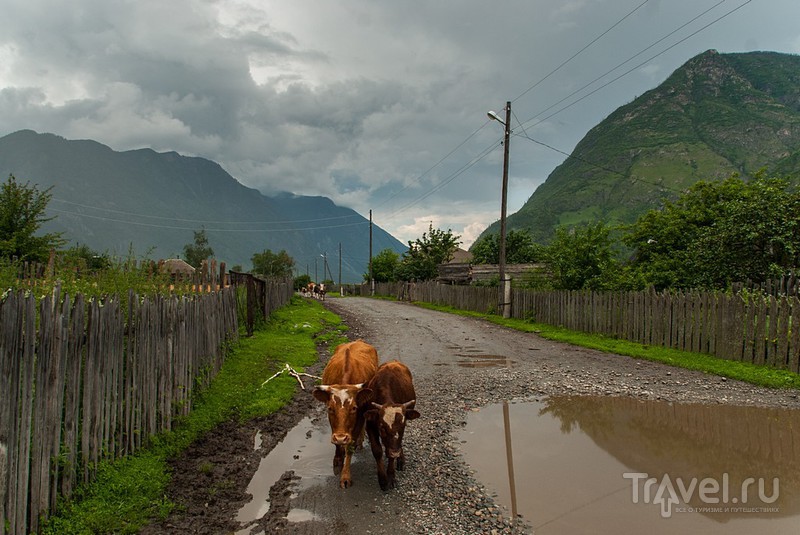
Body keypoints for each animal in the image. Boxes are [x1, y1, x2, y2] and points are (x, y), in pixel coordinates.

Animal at [312, 342, 378, 488]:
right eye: (330, 408)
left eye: (354, 408)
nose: (342, 438)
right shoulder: (334, 424)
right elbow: (337, 443)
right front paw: (338, 459)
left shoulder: (359, 417)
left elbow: (350, 447)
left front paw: (345, 476)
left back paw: (359, 441)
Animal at [366, 360, 422, 490]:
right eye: (382, 427)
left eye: (403, 425)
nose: (395, 452)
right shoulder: (370, 425)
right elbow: (377, 450)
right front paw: (382, 480)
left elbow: (393, 453)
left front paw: (391, 476)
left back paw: (401, 460)